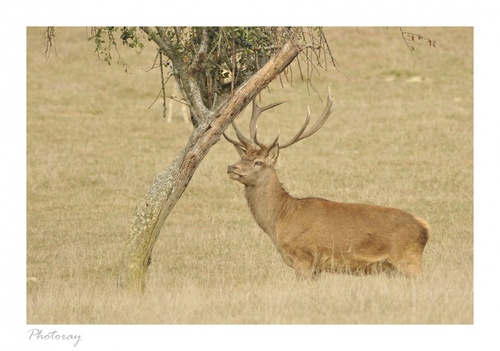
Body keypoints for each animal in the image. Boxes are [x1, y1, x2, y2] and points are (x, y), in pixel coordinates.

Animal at [224, 90, 430, 280]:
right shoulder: (315, 267)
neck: (281, 219)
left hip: (408, 258)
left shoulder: (304, 257)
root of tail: (424, 228)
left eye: (258, 162)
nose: (231, 167)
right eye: (243, 157)